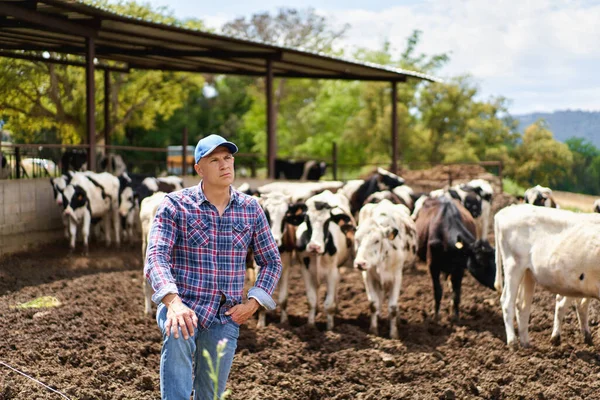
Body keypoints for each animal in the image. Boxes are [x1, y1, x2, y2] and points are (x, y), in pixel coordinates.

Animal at [296, 191, 356, 332]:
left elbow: (329, 304)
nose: (314, 246)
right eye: (306, 220)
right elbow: (311, 300)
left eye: (328, 221)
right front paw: (311, 327)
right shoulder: (306, 271)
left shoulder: (332, 273)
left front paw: (330, 329)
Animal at [352, 200, 418, 338]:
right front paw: (373, 330)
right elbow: (373, 303)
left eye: (377, 240)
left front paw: (393, 335)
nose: (360, 263)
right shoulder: (368, 276)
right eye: (356, 239)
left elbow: (392, 307)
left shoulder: (397, 276)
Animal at [492, 205, 600, 346]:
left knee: (522, 306)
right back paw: (512, 342)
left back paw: (526, 343)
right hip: (513, 265)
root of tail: (504, 211)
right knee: (507, 302)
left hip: (528, 273)